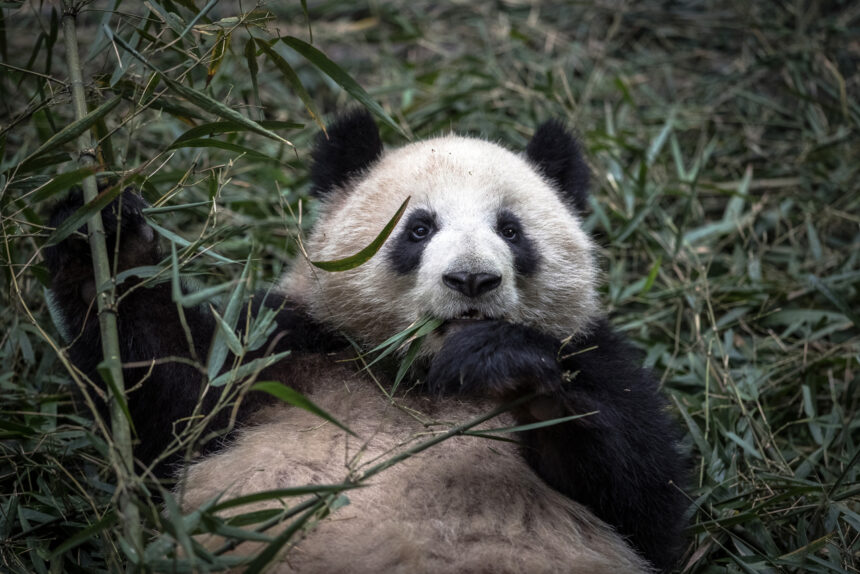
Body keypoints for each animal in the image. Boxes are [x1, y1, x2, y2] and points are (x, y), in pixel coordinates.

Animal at [46, 110, 687, 573]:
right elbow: (170, 405)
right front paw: (107, 231)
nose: (472, 280)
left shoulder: (593, 356)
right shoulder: (288, 348)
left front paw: (501, 358)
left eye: (511, 230)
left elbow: (642, 498)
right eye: (419, 228)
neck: (419, 376)